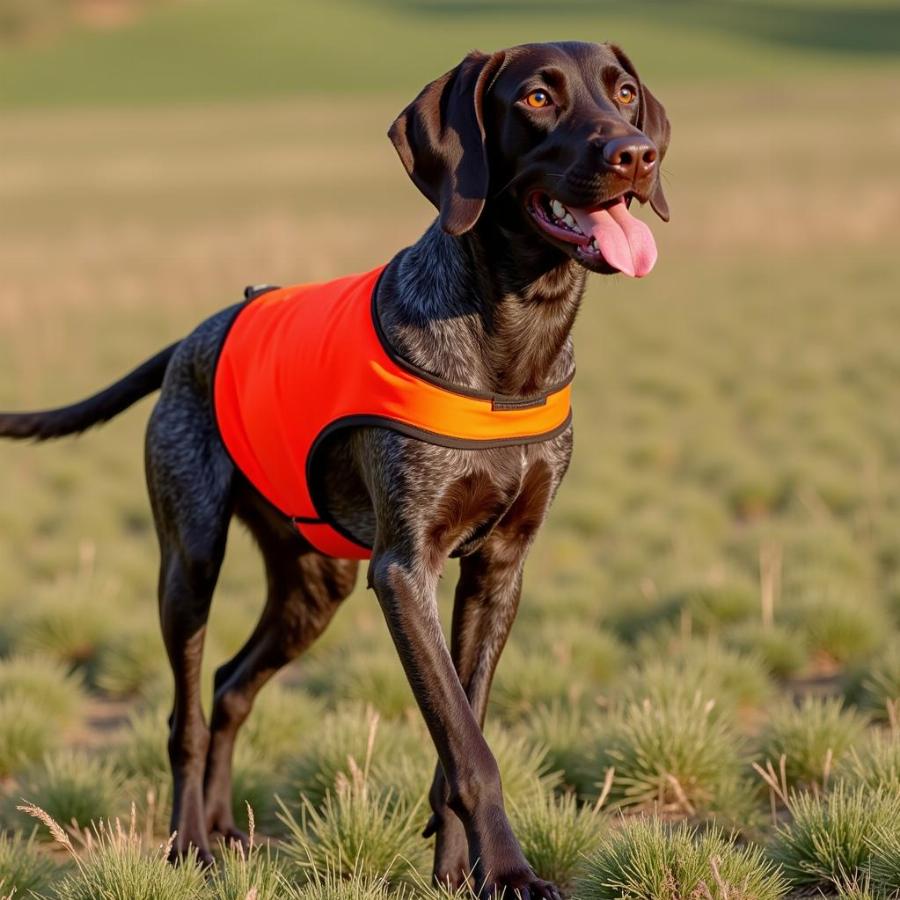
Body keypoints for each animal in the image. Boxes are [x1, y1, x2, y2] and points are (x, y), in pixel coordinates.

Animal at [0, 40, 668, 892]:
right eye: (539, 97)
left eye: (625, 93)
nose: (637, 154)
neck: (514, 337)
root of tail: (197, 333)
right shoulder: (405, 570)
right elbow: (470, 748)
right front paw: (511, 875)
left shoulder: (499, 571)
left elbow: (461, 732)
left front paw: (458, 875)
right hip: (191, 561)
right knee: (186, 712)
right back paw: (190, 845)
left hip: (315, 585)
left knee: (230, 686)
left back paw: (225, 826)